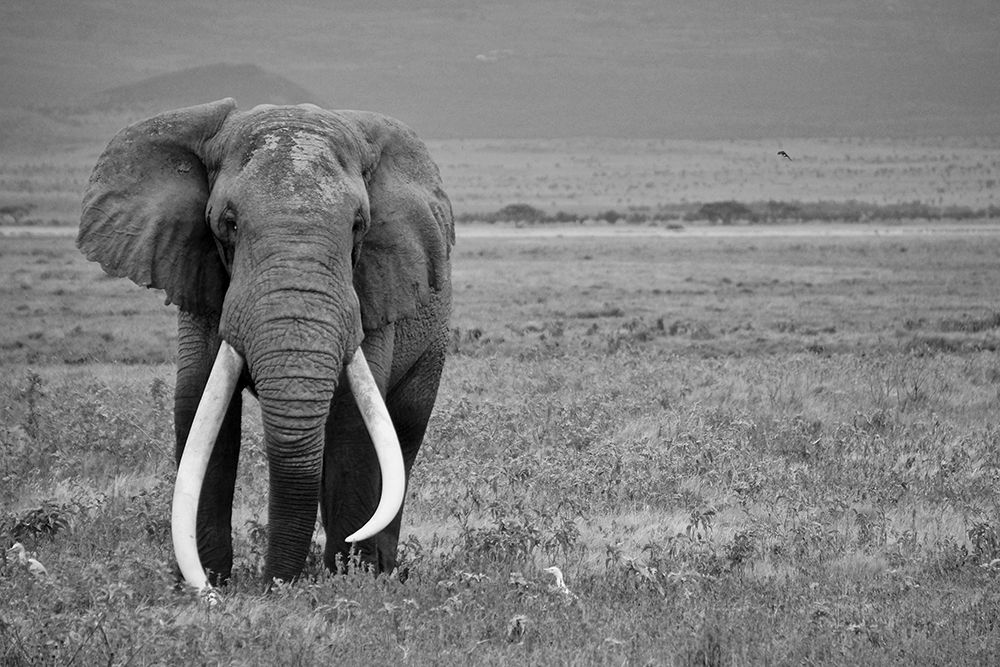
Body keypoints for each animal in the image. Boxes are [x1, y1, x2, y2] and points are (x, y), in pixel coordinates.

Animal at [77, 98, 454, 588]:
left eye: (358, 226)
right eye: (229, 224)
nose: (273, 586)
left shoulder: (373, 289)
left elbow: (352, 424)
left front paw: (347, 582)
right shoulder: (199, 278)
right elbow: (200, 412)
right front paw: (202, 582)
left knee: (403, 434)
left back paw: (383, 571)